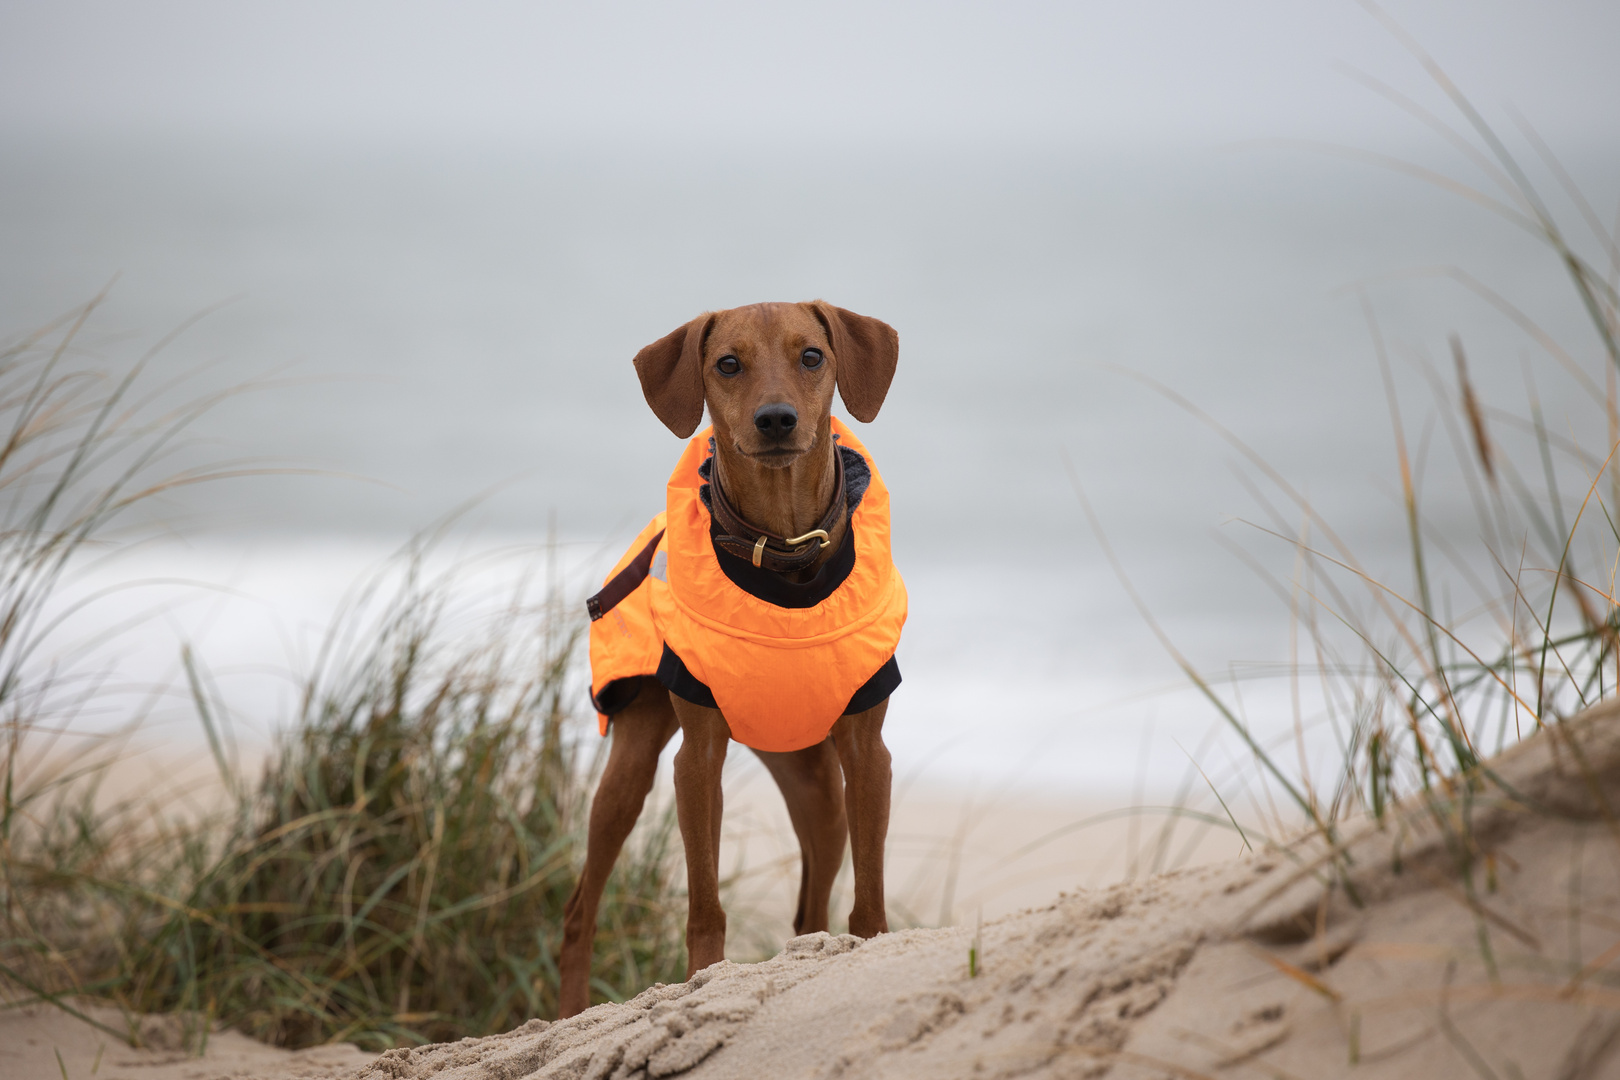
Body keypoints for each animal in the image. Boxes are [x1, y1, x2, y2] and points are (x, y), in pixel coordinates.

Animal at [560, 299, 907, 1016]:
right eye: (727, 364)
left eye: (812, 355)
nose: (776, 420)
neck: (785, 550)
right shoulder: (698, 759)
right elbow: (704, 907)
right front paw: (703, 980)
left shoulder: (868, 751)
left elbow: (869, 898)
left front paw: (869, 956)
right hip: (629, 772)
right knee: (580, 911)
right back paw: (568, 1013)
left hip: (816, 787)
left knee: (810, 907)